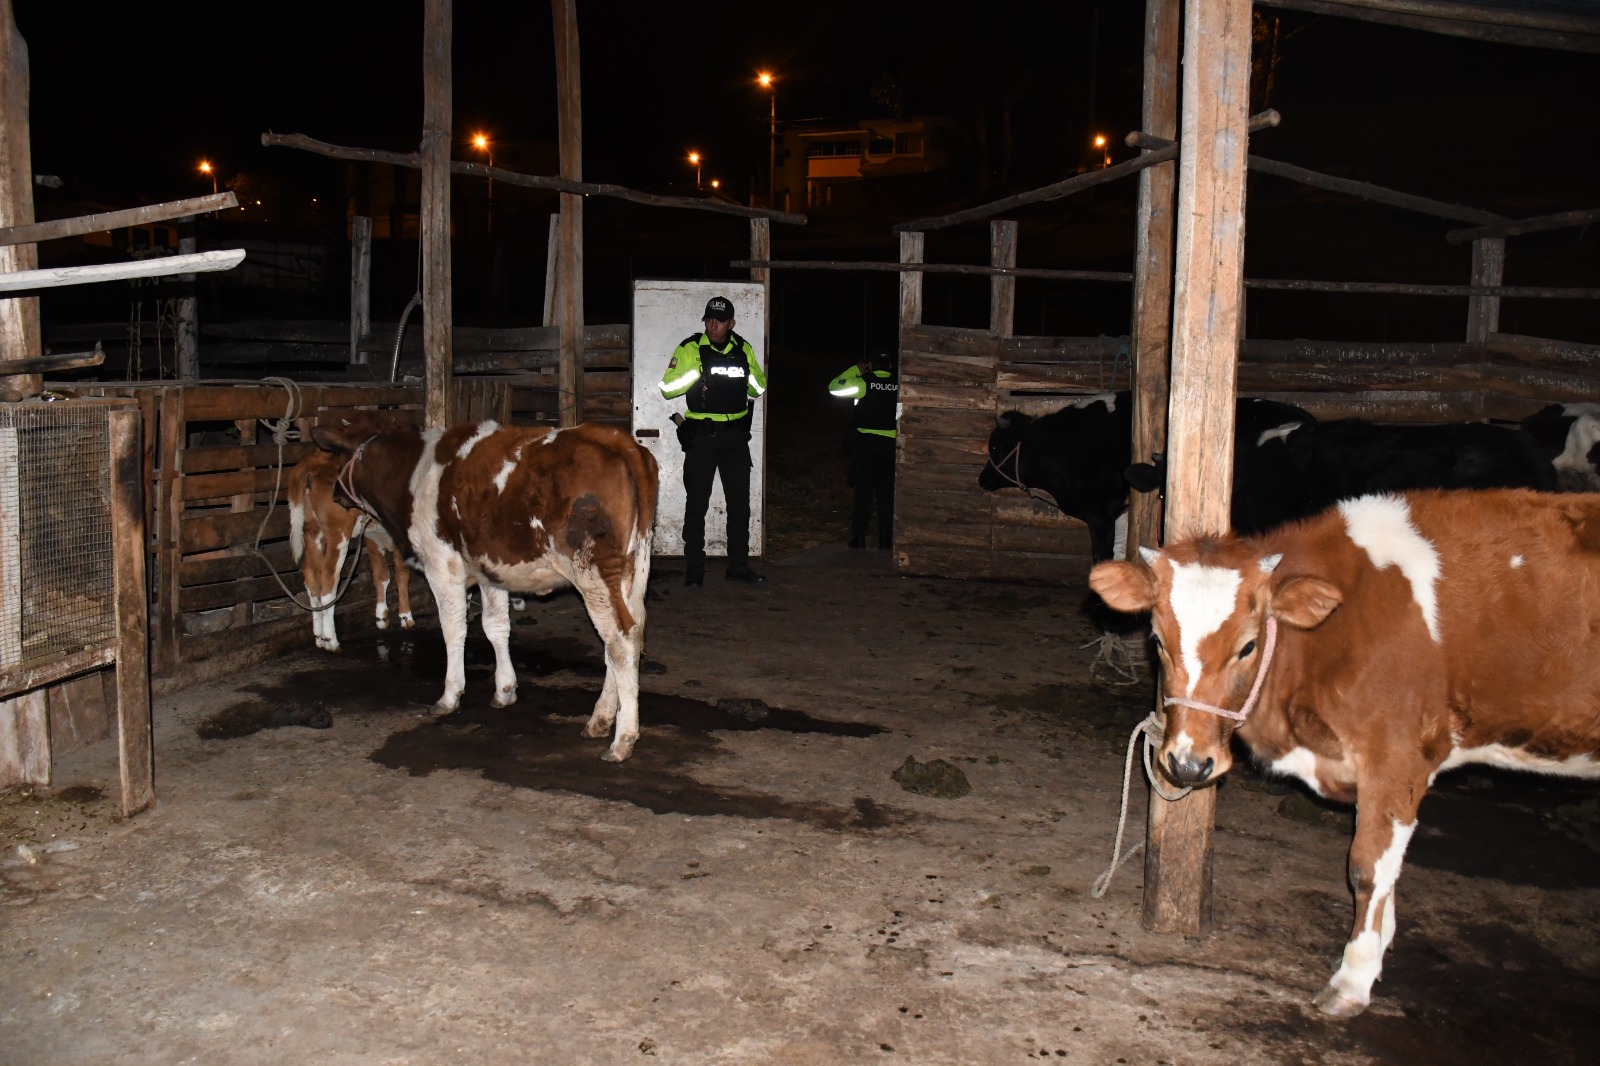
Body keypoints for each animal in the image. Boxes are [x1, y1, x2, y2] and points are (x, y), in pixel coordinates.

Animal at [288, 444, 412, 653]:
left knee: (311, 576)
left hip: (313, 532)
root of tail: (311, 464)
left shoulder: (371, 534)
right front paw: (406, 616)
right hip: (338, 533)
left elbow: (381, 575)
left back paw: (319, 637)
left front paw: (381, 616)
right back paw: (331, 640)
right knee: (329, 578)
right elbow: (402, 573)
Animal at [308, 409, 659, 758]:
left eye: (340, 458)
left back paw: (622, 739)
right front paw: (504, 690)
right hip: (627, 571)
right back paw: (600, 720)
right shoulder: (490, 572)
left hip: (592, 572)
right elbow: (496, 627)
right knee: (622, 638)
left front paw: (450, 695)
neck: (412, 475)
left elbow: (453, 629)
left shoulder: (441, 565)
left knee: (620, 640)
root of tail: (618, 441)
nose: (335, 493)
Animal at [1088, 489, 1600, 1011]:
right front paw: (1378, 950)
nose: (1188, 764)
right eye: (1157, 640)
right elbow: (1388, 867)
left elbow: (1368, 867)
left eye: (1248, 646)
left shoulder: (1397, 755)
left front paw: (1352, 979)